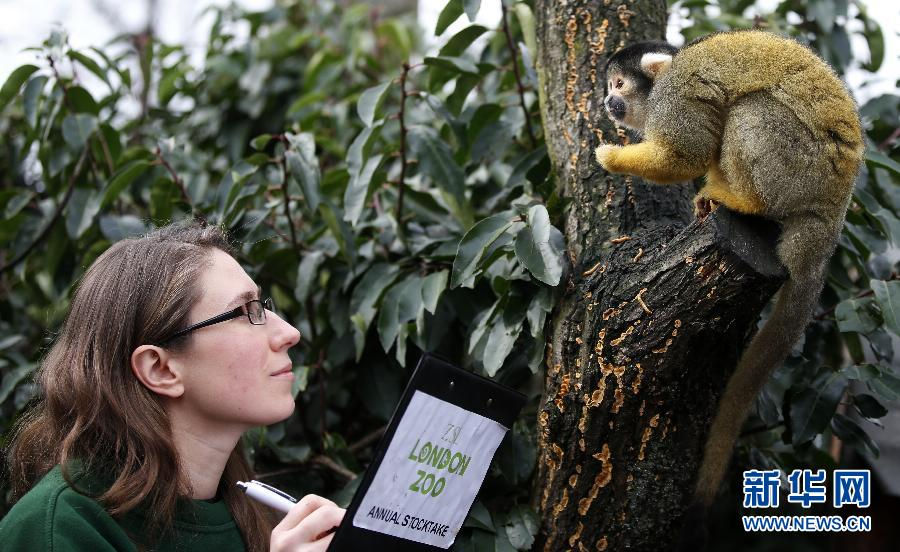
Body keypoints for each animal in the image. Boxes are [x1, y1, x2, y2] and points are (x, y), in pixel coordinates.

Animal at [596, 31, 864, 512]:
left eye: (619, 85)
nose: (608, 102)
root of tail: (829, 219)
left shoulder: (677, 95)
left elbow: (685, 155)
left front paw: (612, 157)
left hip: (798, 171)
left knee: (752, 109)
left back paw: (745, 200)